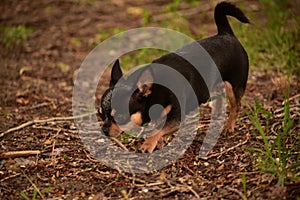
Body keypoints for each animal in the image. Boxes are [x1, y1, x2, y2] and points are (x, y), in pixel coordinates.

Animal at [98, 1, 248, 152]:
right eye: (101, 114)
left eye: (120, 117)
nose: (103, 130)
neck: (155, 90)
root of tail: (225, 33)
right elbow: (158, 127)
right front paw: (159, 142)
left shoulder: (176, 118)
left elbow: (158, 130)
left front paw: (148, 144)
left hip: (234, 86)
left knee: (236, 106)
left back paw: (229, 126)